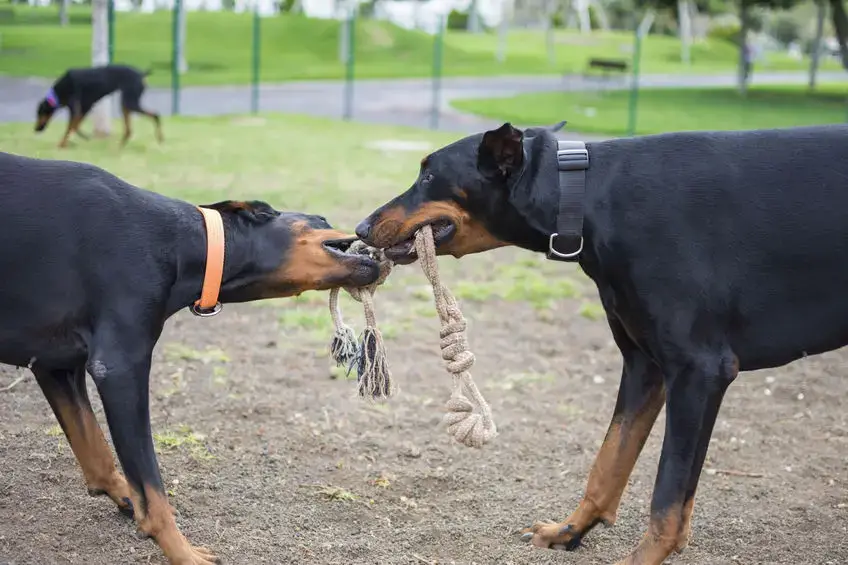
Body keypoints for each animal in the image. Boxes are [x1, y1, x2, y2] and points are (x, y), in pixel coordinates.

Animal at [0, 150, 378, 564]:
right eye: (321, 221)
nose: (366, 231)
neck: (185, 242)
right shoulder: (119, 367)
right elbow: (153, 490)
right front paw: (183, 552)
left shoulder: (54, 363)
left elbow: (99, 456)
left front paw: (125, 498)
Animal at [35, 64, 164, 149]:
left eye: (39, 113)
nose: (35, 129)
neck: (57, 94)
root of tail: (141, 74)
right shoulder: (85, 107)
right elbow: (75, 126)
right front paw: (82, 138)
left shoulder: (78, 108)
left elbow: (71, 127)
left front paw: (62, 145)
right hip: (126, 103)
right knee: (129, 130)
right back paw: (119, 146)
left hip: (130, 102)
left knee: (155, 114)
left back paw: (160, 139)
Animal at [354, 121, 848, 560]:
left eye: (429, 176)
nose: (360, 227)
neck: (588, 195)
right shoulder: (647, 367)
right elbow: (609, 462)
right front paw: (568, 531)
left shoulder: (699, 370)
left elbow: (667, 503)